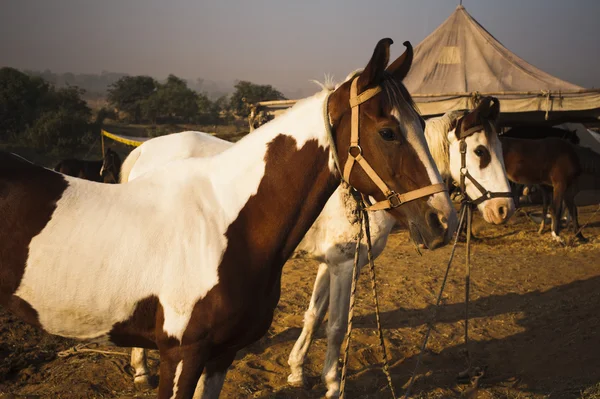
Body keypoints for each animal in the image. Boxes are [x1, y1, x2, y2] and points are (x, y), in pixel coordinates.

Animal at [0, 38, 454, 399]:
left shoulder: (221, 354)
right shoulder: (183, 353)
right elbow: (334, 325)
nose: (442, 222)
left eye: (422, 123)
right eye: (388, 132)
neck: (226, 224)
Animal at [123, 97, 516, 399]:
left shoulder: (331, 263)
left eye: (500, 150)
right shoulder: (345, 264)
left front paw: (297, 370)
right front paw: (333, 384)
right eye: (480, 151)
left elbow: (314, 315)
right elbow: (337, 325)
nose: (504, 209)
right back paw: (141, 370)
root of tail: (143, 151)